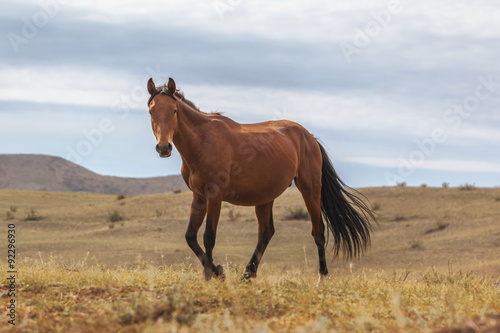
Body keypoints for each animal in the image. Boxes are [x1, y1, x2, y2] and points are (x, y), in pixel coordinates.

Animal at [146, 78, 374, 280]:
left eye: (174, 110)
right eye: (151, 111)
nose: (164, 147)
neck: (203, 141)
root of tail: (309, 137)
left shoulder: (214, 196)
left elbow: (208, 237)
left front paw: (215, 274)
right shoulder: (199, 196)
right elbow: (191, 236)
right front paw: (213, 272)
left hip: (310, 189)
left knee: (318, 232)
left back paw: (321, 279)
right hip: (265, 197)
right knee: (266, 233)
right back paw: (248, 274)